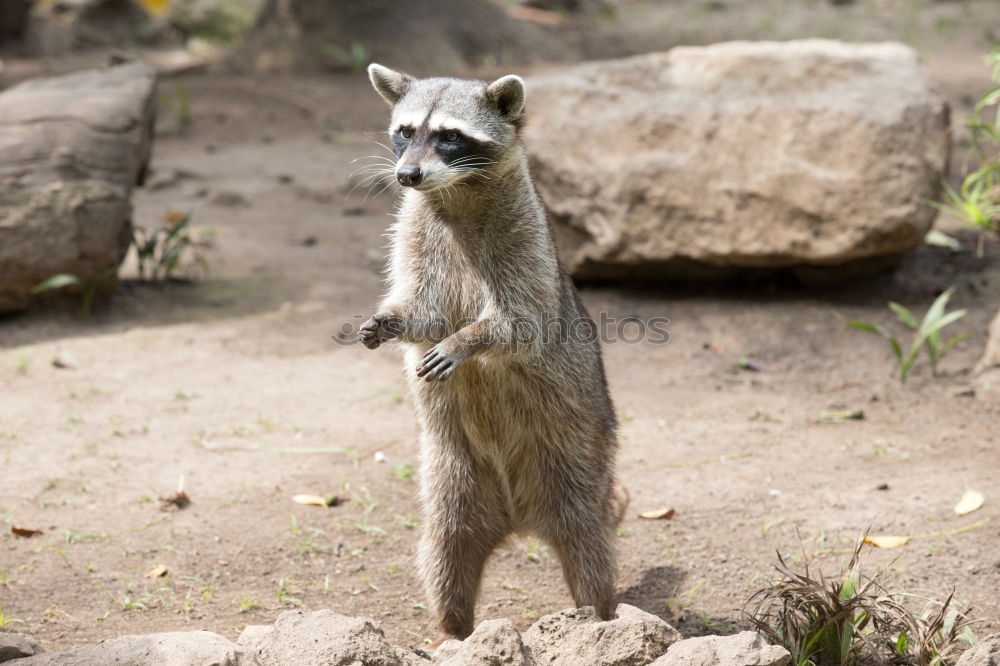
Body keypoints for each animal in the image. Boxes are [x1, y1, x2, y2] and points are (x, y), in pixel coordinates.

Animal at [360, 63, 624, 640]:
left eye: (449, 136)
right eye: (405, 131)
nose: (407, 176)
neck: (456, 192)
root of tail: (519, 517)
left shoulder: (528, 239)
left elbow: (524, 322)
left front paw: (468, 339)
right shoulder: (415, 233)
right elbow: (423, 311)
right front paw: (391, 319)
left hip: (578, 458)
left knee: (590, 546)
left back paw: (598, 620)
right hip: (451, 478)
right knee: (444, 555)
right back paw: (456, 633)